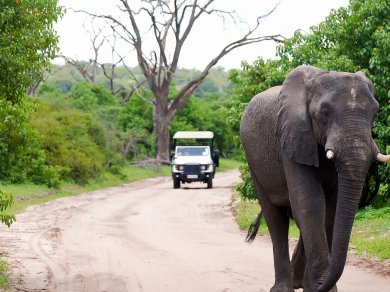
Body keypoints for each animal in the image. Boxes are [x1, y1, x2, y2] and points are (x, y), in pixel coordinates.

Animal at [239, 66, 388, 292]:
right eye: (324, 113)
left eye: (375, 113)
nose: (321, 286)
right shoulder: (292, 136)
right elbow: (310, 204)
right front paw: (319, 287)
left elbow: (330, 209)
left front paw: (318, 288)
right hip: (253, 162)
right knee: (275, 219)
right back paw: (284, 288)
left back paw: (298, 282)